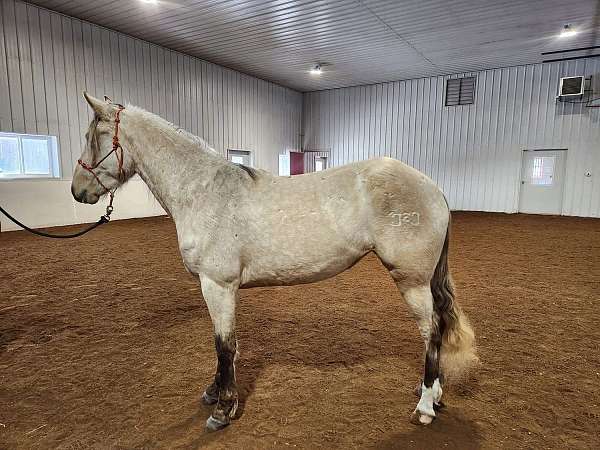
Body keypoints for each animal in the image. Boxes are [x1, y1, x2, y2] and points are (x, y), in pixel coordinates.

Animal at [70, 93, 476, 430]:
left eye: (93, 137)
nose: (77, 191)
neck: (204, 191)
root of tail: (432, 187)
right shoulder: (219, 288)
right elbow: (226, 344)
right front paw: (214, 393)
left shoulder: (217, 285)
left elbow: (224, 345)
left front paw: (223, 409)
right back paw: (433, 394)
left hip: (412, 280)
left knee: (431, 332)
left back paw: (425, 407)